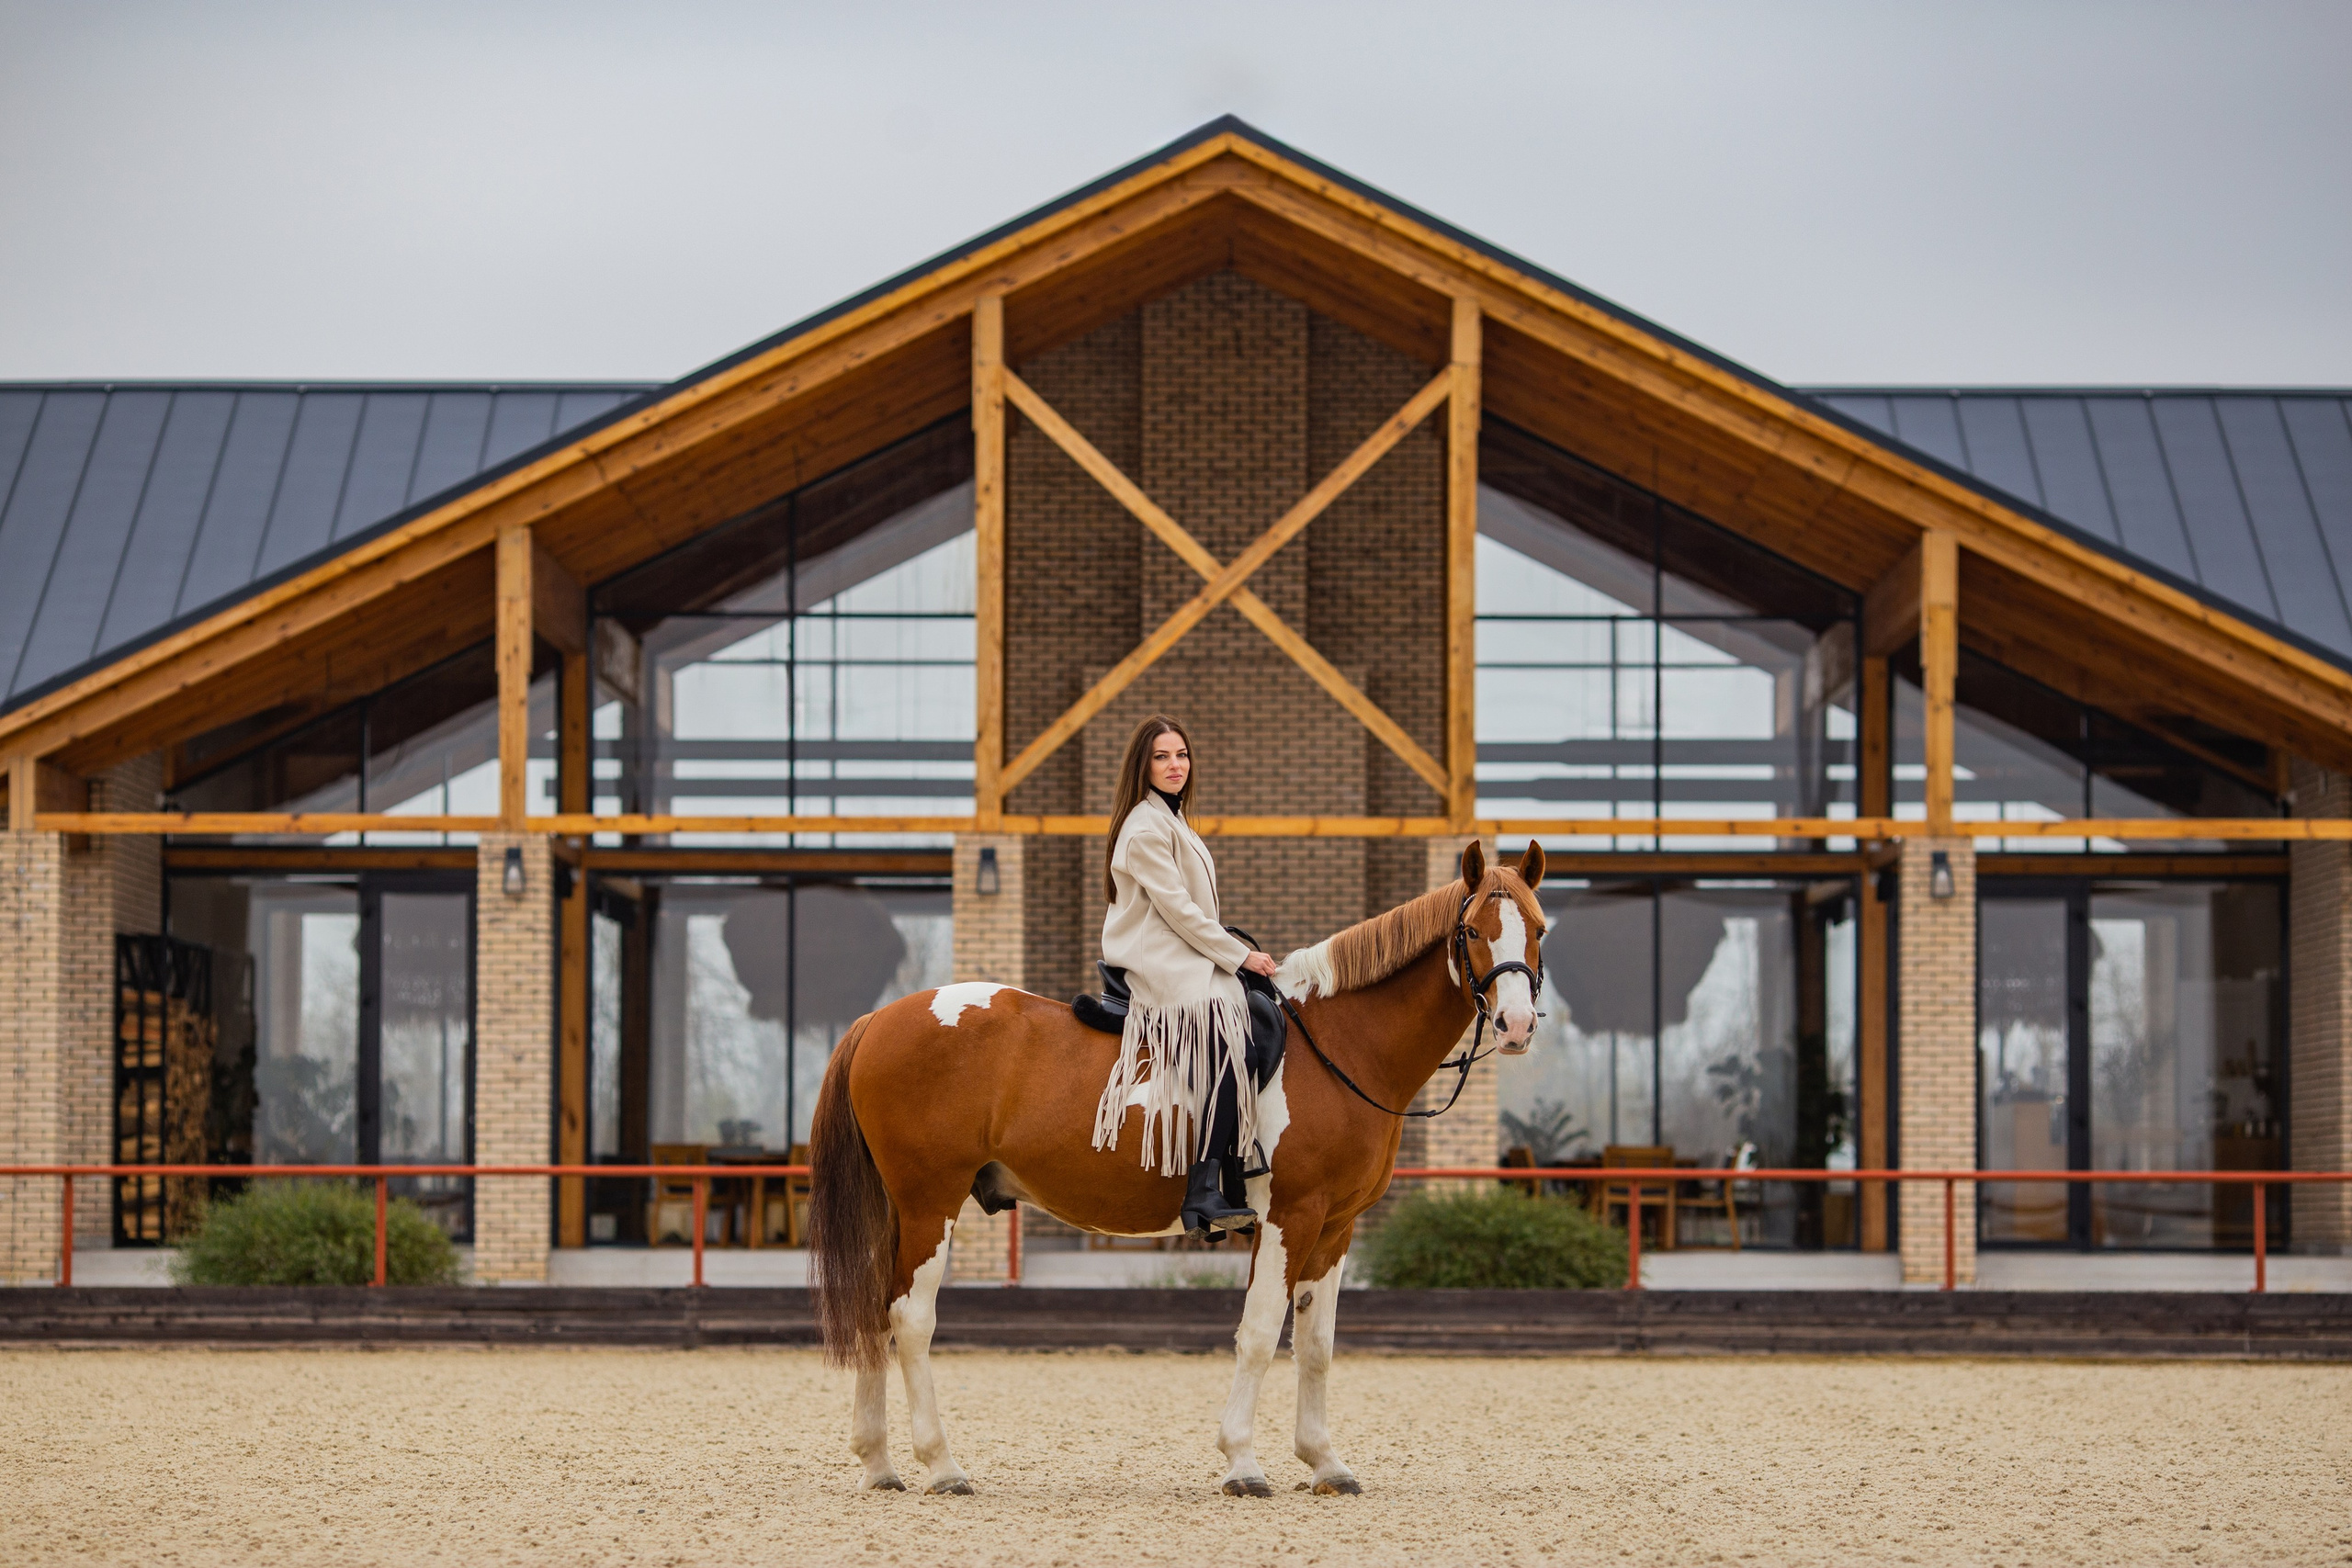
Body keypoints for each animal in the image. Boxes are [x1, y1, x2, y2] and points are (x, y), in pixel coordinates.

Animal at [808, 839, 1548, 1496]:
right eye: (1473, 930)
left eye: (1539, 928)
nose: (1516, 1025)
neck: (1339, 1043)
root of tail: (879, 1020)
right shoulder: (1290, 1217)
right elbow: (1259, 1334)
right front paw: (1243, 1462)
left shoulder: (1335, 1229)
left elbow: (1316, 1344)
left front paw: (1325, 1463)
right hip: (930, 1203)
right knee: (910, 1318)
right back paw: (942, 1465)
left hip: (898, 1210)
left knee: (875, 1312)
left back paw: (879, 1464)